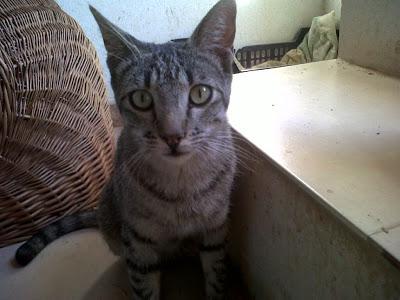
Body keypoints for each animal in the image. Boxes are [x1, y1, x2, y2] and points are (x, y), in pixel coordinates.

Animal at [16, 1, 238, 298]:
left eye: (200, 93)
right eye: (141, 98)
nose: (172, 136)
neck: (181, 186)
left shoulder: (215, 231)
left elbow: (216, 277)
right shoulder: (138, 240)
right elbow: (144, 285)